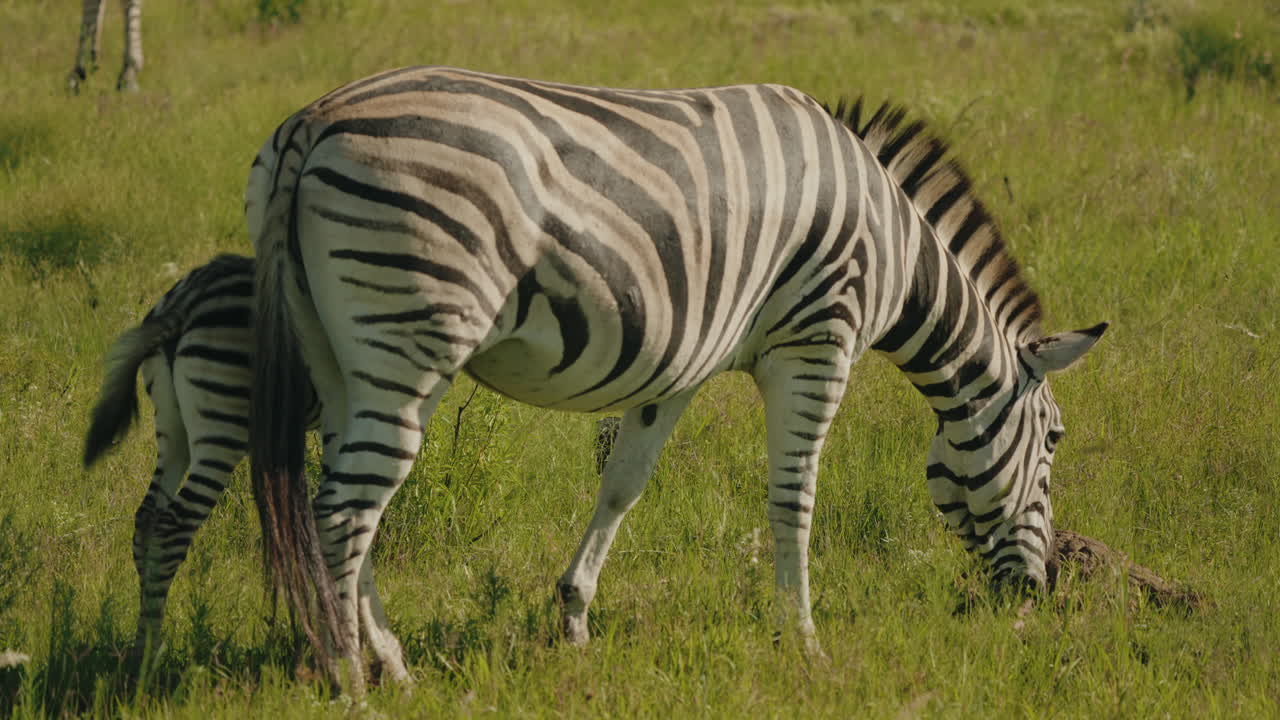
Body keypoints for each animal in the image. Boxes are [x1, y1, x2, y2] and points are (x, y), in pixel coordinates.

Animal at [83, 254, 330, 654]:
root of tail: (184, 301)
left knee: (147, 517)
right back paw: (151, 650)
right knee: (173, 525)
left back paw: (143, 640)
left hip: (173, 428)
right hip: (222, 424)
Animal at [244, 66, 1107, 690]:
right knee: (345, 514)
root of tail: (311, 121)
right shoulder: (816, 342)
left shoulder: (679, 368)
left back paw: (390, 662)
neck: (894, 249)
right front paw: (806, 645)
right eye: (1055, 441)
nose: (1039, 593)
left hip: (339, 355)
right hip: (409, 345)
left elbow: (623, 485)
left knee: (345, 505)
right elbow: (794, 499)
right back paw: (353, 681)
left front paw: (574, 619)